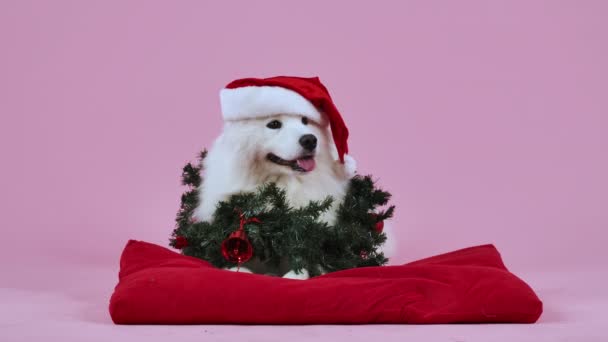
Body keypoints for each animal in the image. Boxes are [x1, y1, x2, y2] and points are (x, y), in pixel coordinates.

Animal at [192, 113, 354, 280]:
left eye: (305, 121)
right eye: (274, 124)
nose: (310, 139)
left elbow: (304, 260)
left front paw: (297, 274)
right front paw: (239, 269)